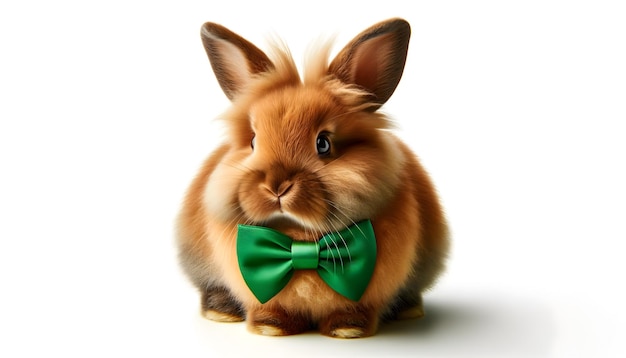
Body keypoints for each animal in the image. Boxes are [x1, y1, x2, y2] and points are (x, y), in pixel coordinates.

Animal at [176, 17, 448, 338]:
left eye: (323, 144)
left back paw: (408, 310)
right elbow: (270, 308)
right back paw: (221, 311)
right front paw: (270, 326)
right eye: (253, 141)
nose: (276, 186)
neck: (299, 240)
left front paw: (348, 329)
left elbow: (354, 310)